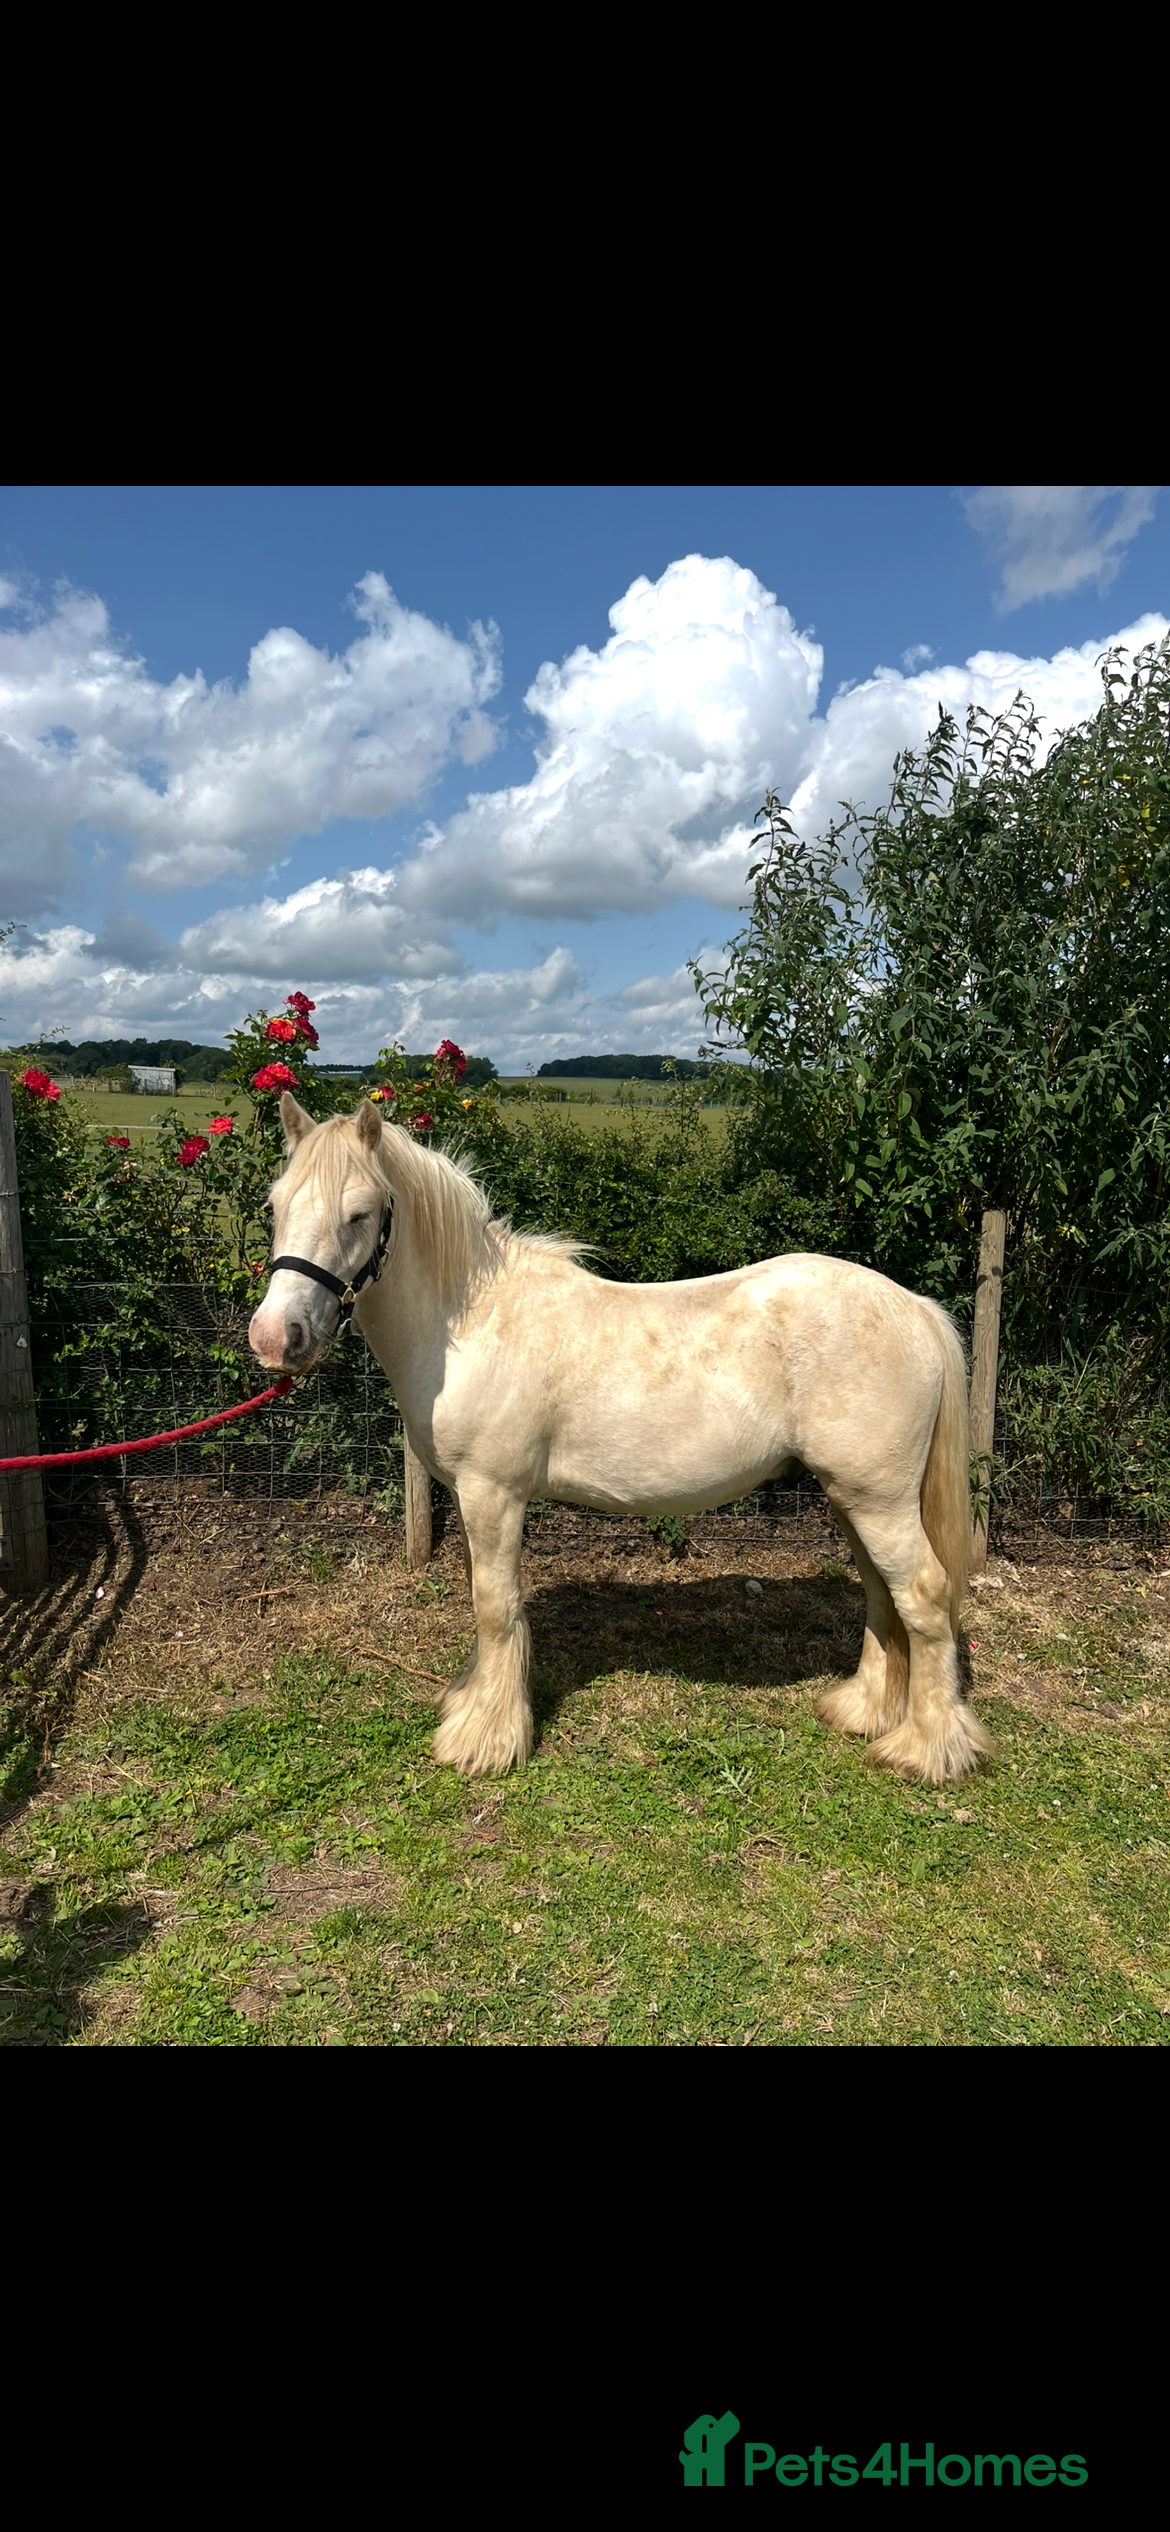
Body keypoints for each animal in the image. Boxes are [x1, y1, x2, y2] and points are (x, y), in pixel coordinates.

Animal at [248, 1095, 992, 1787]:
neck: (472, 1321)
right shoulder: (469, 1496)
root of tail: (915, 1308)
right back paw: (864, 1709)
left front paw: (485, 1741)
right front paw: (471, 1705)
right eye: (274, 1204)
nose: (276, 1338)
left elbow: (495, 1609)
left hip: (878, 1500)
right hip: (852, 1498)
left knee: (923, 1595)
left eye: (360, 1213)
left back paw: (926, 1750)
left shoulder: (493, 1494)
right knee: (881, 1594)